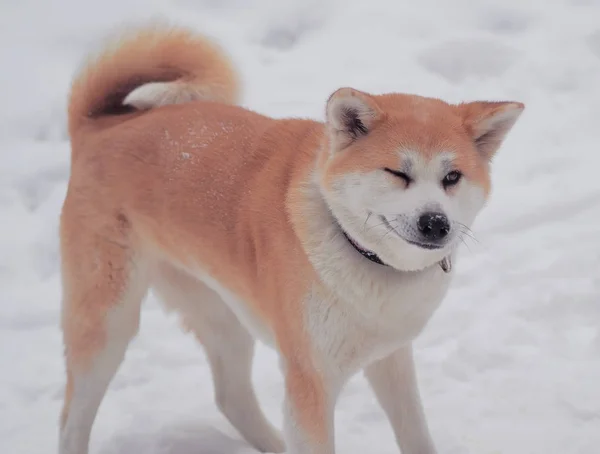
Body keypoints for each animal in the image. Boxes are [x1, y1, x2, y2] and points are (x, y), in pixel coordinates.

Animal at [57, 22, 524, 454]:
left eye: (452, 177)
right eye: (398, 173)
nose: (435, 223)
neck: (364, 257)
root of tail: (99, 127)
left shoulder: (392, 360)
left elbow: (416, 435)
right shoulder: (310, 380)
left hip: (224, 315)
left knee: (231, 397)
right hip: (108, 325)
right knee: (71, 420)